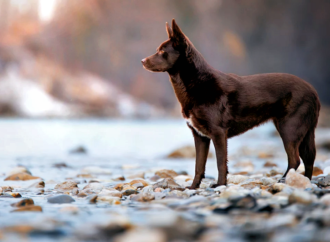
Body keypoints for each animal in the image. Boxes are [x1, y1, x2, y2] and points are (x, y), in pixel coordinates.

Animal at [141, 19, 320, 189]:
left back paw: (284, 180)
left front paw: (220, 185)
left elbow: (220, 162)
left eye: (162, 51)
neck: (197, 83)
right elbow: (199, 165)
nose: (142, 61)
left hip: (289, 128)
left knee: (295, 159)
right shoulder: (200, 136)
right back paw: (304, 182)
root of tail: (313, 91)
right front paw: (193, 187)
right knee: (308, 159)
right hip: (304, 132)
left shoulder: (218, 133)